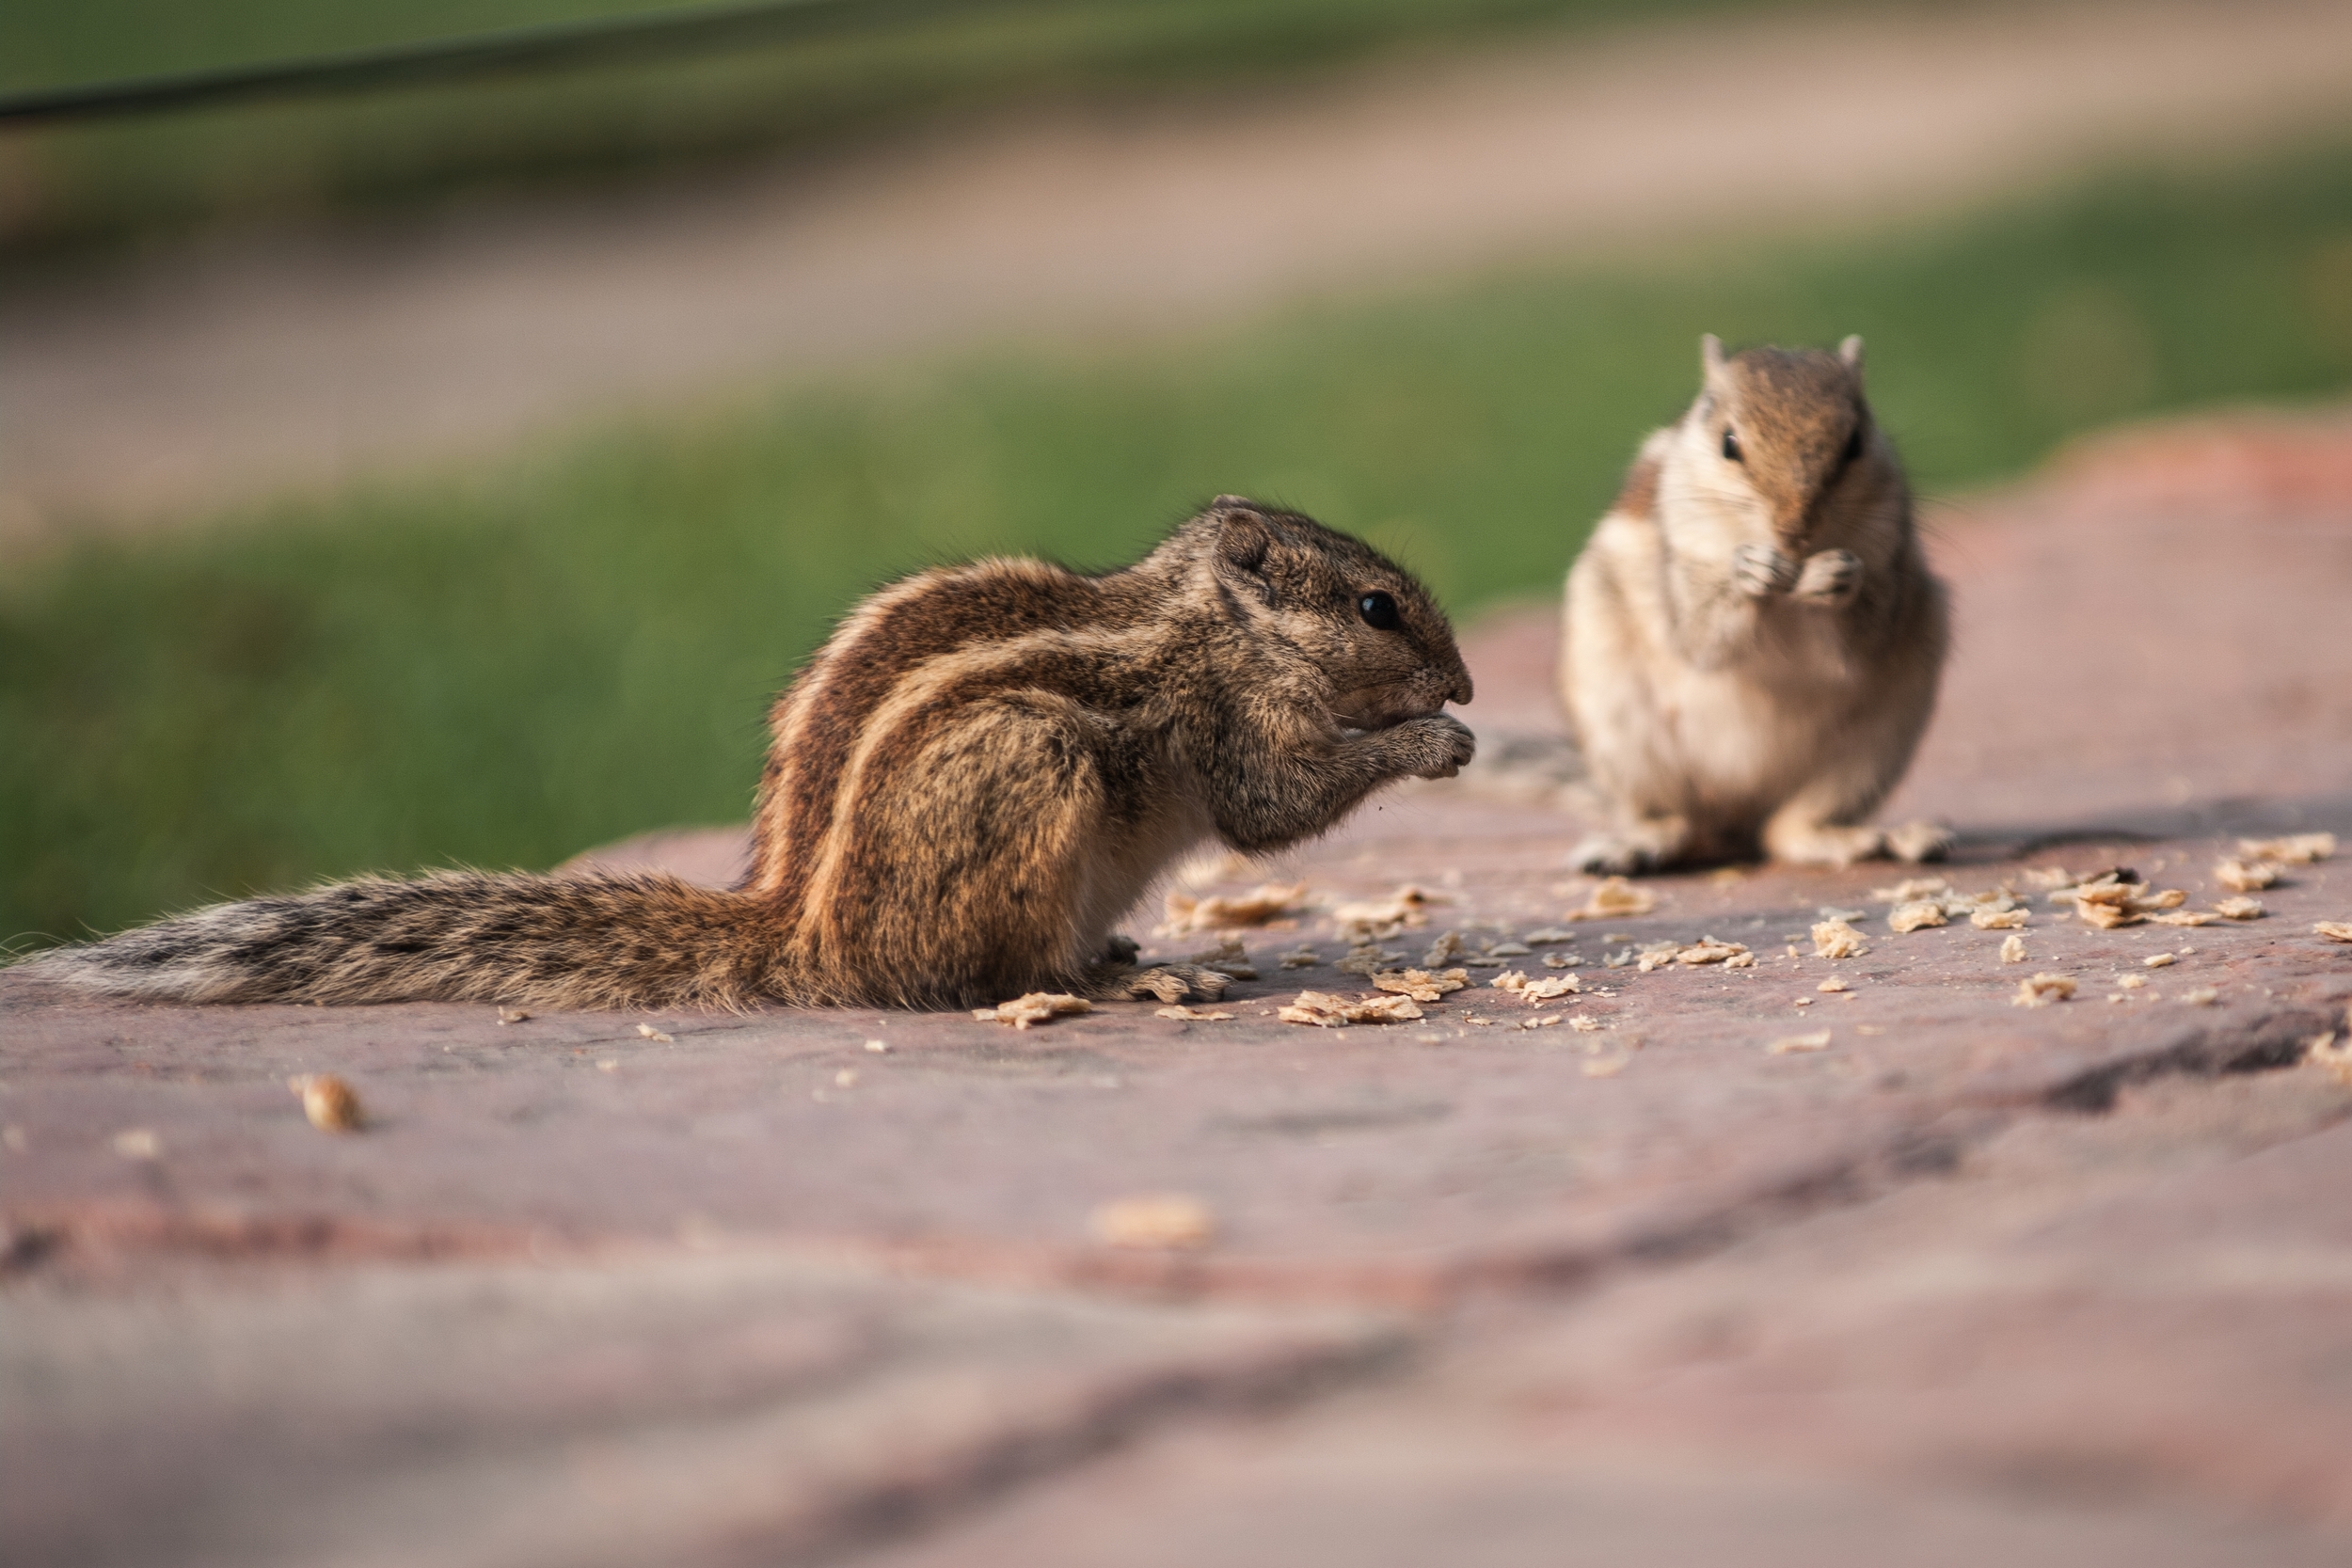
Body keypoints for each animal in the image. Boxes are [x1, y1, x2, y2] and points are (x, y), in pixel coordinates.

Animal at [23, 502, 1468, 1020]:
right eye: (1377, 608)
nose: (1462, 681)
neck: (1208, 619)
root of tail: (802, 931)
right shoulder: (1229, 719)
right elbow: (1274, 807)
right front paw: (1430, 739)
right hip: (1030, 762)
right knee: (977, 976)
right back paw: (1105, 975)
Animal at [1562, 333, 1947, 869]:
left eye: (1855, 443)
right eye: (1729, 443)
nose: (1793, 530)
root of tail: (1734, 814)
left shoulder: (1890, 563)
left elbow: (1863, 643)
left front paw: (1839, 577)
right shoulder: (1681, 563)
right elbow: (1703, 638)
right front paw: (1750, 573)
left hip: (1874, 745)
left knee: (1787, 832)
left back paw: (1876, 839)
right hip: (1621, 730)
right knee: (1677, 822)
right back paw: (1635, 843)